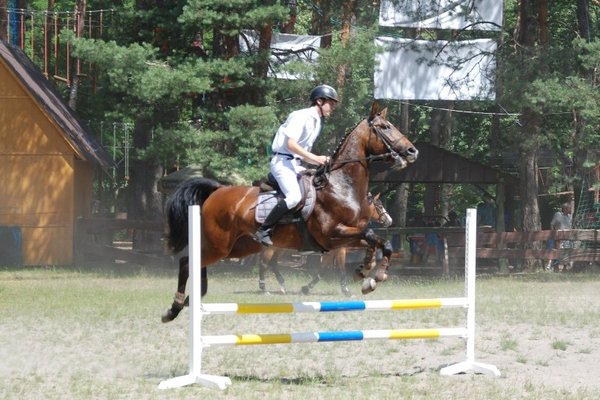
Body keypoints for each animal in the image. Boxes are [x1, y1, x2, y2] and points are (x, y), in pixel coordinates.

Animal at [258, 191, 394, 296]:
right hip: (273, 248)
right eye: (380, 206)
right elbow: (341, 268)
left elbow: (322, 270)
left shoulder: (337, 249)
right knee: (264, 264)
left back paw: (282, 286)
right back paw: (265, 290)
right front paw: (346, 290)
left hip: (282, 248)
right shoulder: (340, 249)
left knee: (273, 263)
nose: (390, 220)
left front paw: (307, 288)